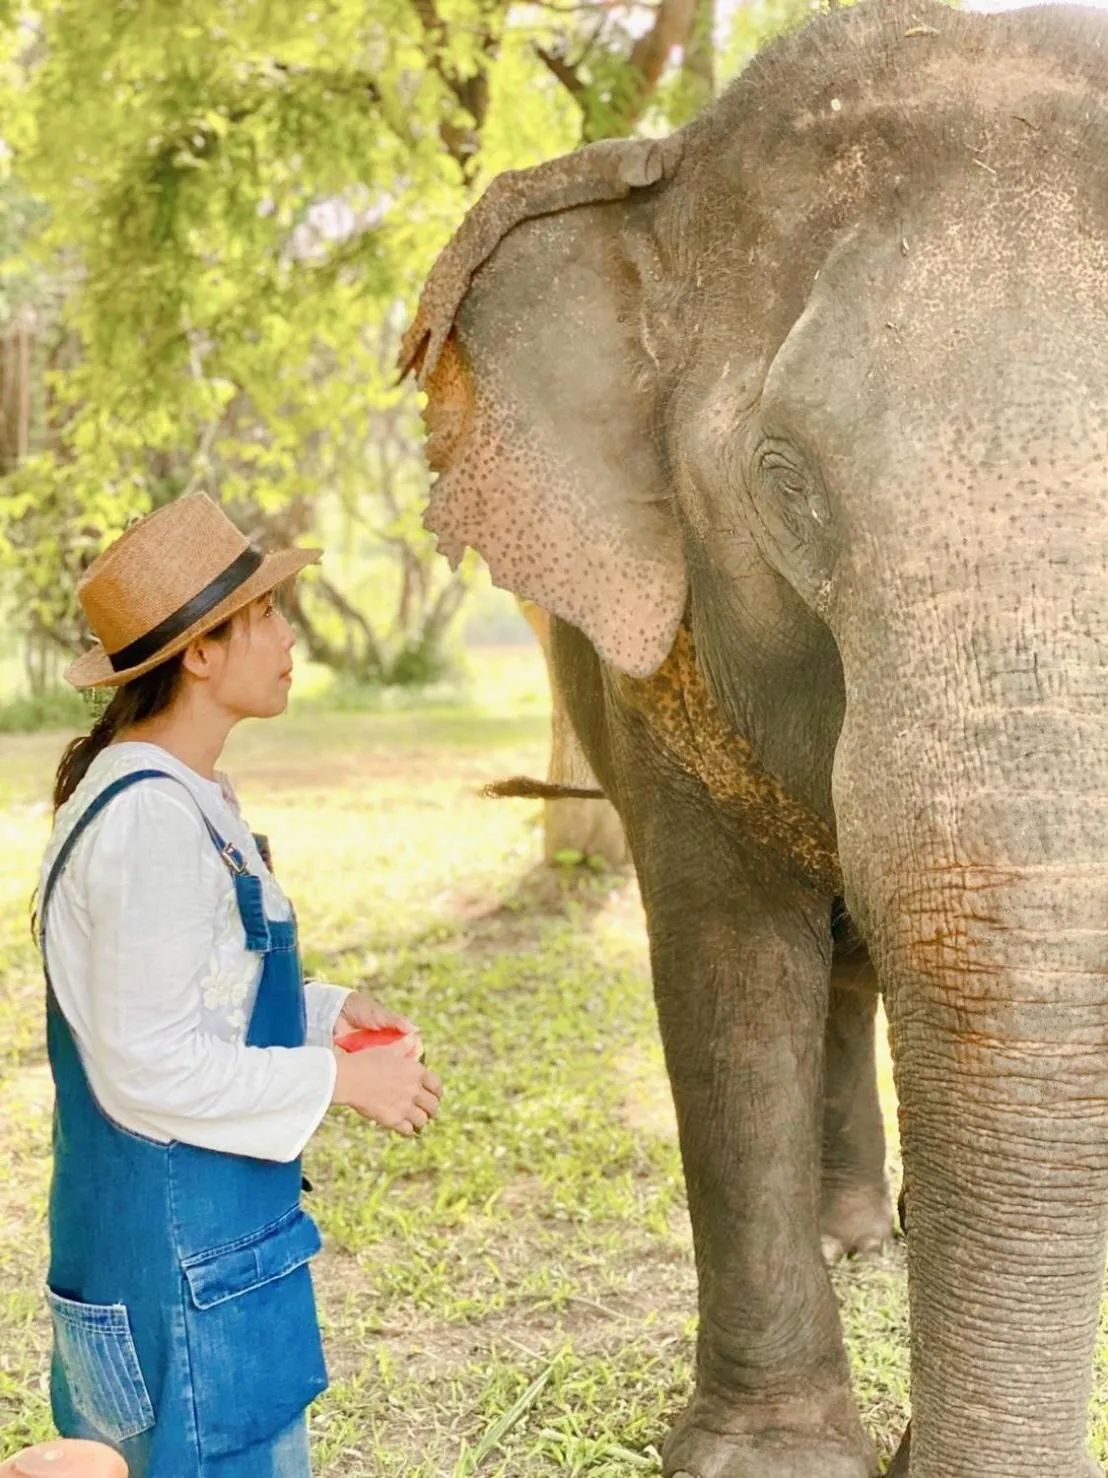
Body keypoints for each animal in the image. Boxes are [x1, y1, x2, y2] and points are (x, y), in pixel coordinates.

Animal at [400, 2, 1108, 1474]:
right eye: (786, 484)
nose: (912, 1449)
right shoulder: (660, 668)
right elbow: (729, 971)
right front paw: (775, 1456)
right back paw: (852, 1237)